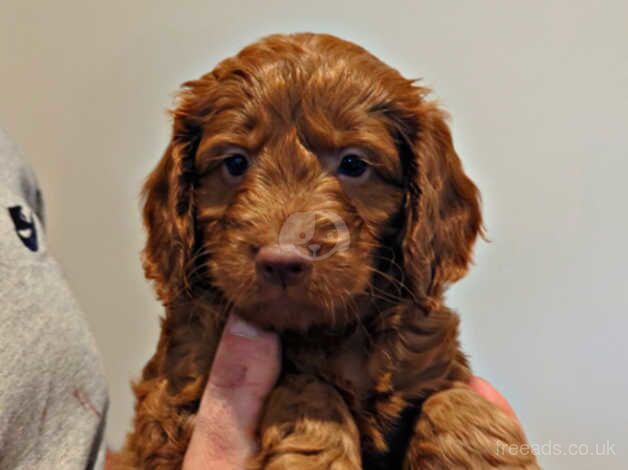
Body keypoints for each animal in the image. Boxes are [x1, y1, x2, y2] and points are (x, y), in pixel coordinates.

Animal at [119, 34, 540, 470]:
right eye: (235, 162)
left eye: (353, 163)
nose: (282, 261)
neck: (333, 332)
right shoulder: (171, 407)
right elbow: (306, 385)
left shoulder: (437, 367)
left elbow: (454, 399)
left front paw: (480, 456)